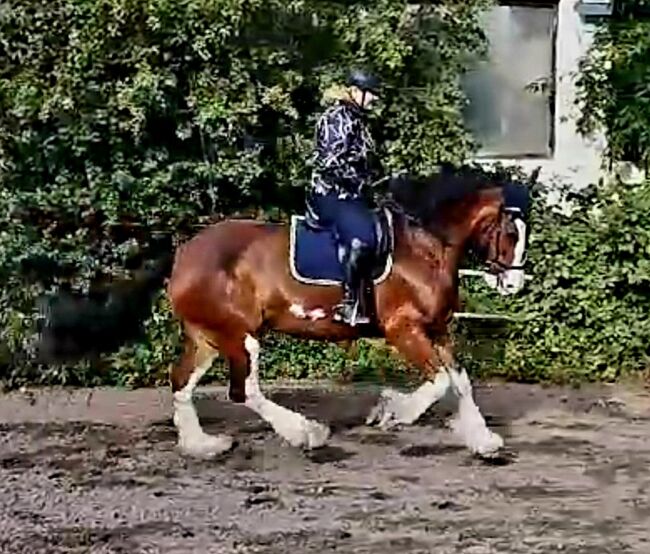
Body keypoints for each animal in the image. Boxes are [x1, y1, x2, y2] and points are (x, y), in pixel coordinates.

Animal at [35, 164, 528, 458]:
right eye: (510, 231)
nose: (513, 283)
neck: (424, 246)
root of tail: (183, 253)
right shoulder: (403, 328)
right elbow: (440, 381)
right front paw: (393, 413)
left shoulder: (437, 329)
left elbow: (460, 381)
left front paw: (483, 439)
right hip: (239, 335)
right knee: (244, 390)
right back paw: (305, 433)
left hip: (207, 336)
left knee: (182, 382)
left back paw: (203, 445)